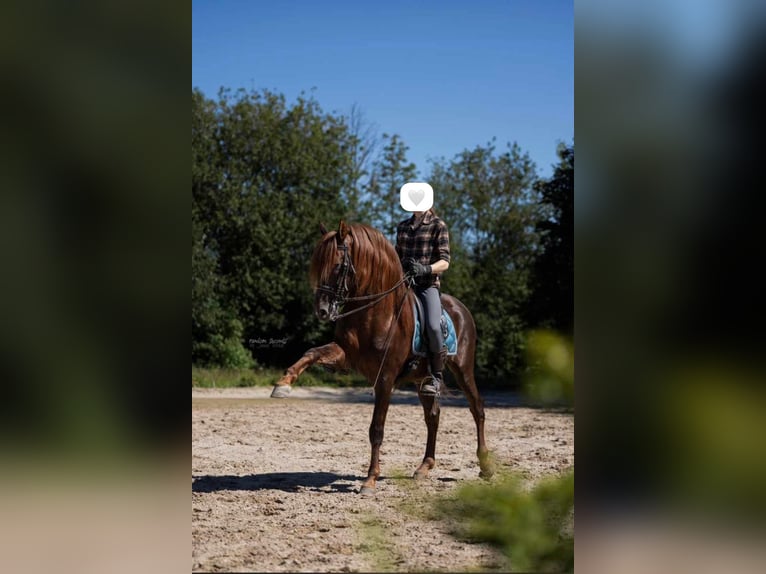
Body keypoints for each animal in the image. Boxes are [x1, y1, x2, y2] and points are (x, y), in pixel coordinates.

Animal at [270, 220, 494, 495]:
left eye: (338, 265)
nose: (322, 310)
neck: (375, 313)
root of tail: (461, 309)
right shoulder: (345, 355)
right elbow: (311, 353)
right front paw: (283, 384)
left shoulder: (385, 377)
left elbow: (376, 428)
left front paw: (370, 479)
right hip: (422, 380)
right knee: (433, 417)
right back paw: (424, 467)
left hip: (462, 369)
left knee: (477, 409)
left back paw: (486, 466)